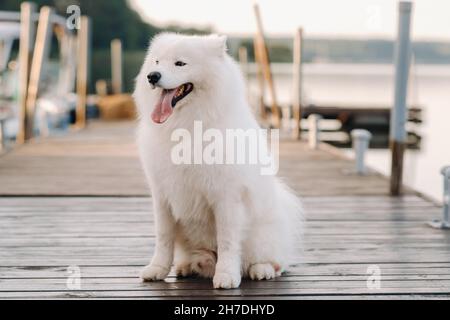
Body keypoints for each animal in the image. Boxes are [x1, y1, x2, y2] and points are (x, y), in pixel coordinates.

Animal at [134, 33, 302, 290]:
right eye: (156, 62)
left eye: (180, 63)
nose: (152, 76)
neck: (187, 127)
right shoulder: (162, 195)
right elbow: (163, 237)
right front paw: (157, 269)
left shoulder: (226, 197)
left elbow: (227, 241)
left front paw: (226, 276)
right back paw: (189, 266)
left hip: (263, 234)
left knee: (275, 262)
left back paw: (261, 270)